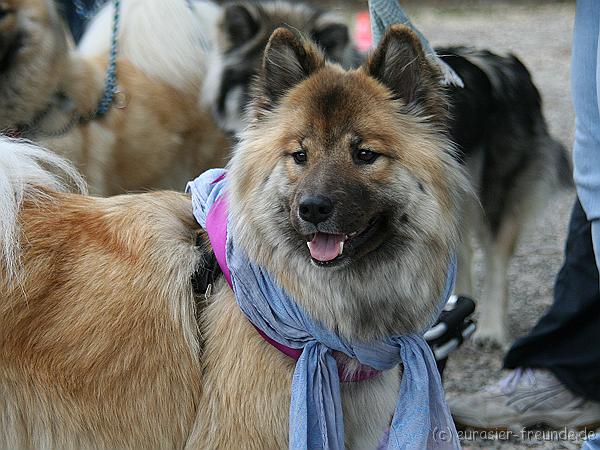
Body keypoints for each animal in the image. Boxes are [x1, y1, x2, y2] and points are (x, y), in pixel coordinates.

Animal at [198, 0, 572, 344]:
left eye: (365, 154)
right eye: (300, 155)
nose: (312, 209)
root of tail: (504, 60)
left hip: (495, 195)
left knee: (495, 260)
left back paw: (491, 329)